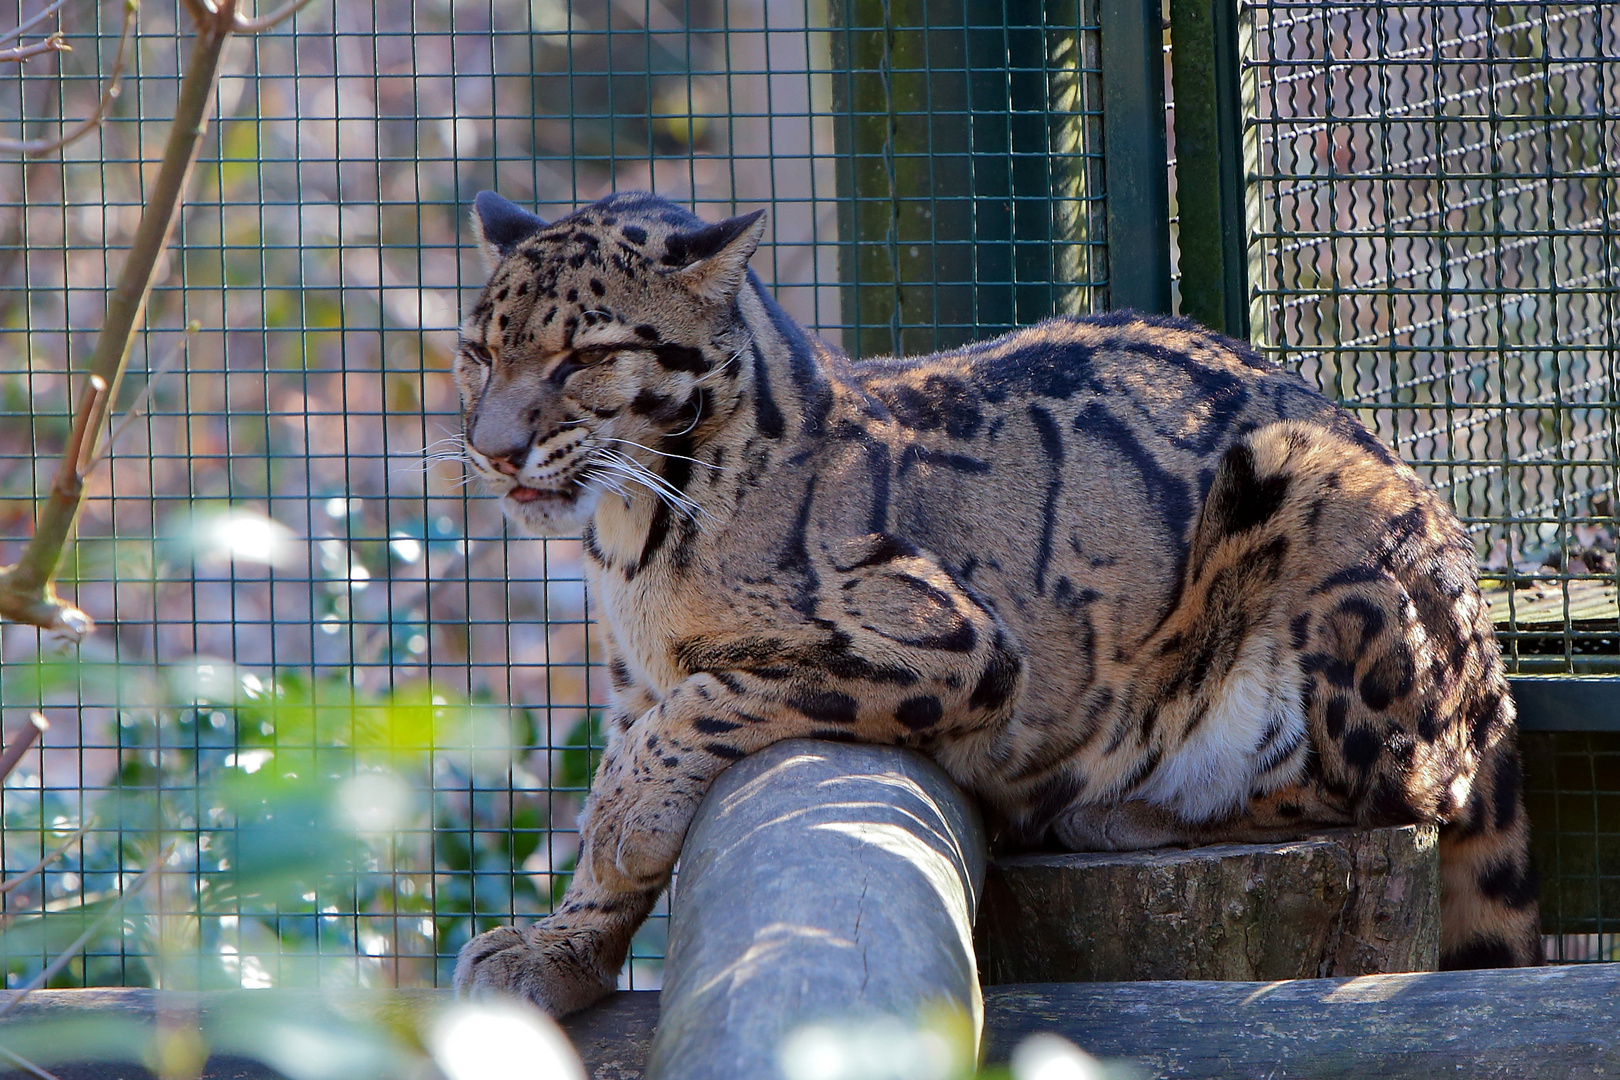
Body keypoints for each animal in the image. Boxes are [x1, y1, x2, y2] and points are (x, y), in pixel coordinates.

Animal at [450, 190, 1535, 1010]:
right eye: (478, 353)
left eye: (586, 357)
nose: (491, 450)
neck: (633, 534)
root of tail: (1490, 661)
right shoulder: (629, 680)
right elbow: (638, 750)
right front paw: (561, 943)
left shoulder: (955, 642)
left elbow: (712, 700)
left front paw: (625, 817)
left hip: (1317, 512)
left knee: (1406, 782)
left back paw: (1129, 806)